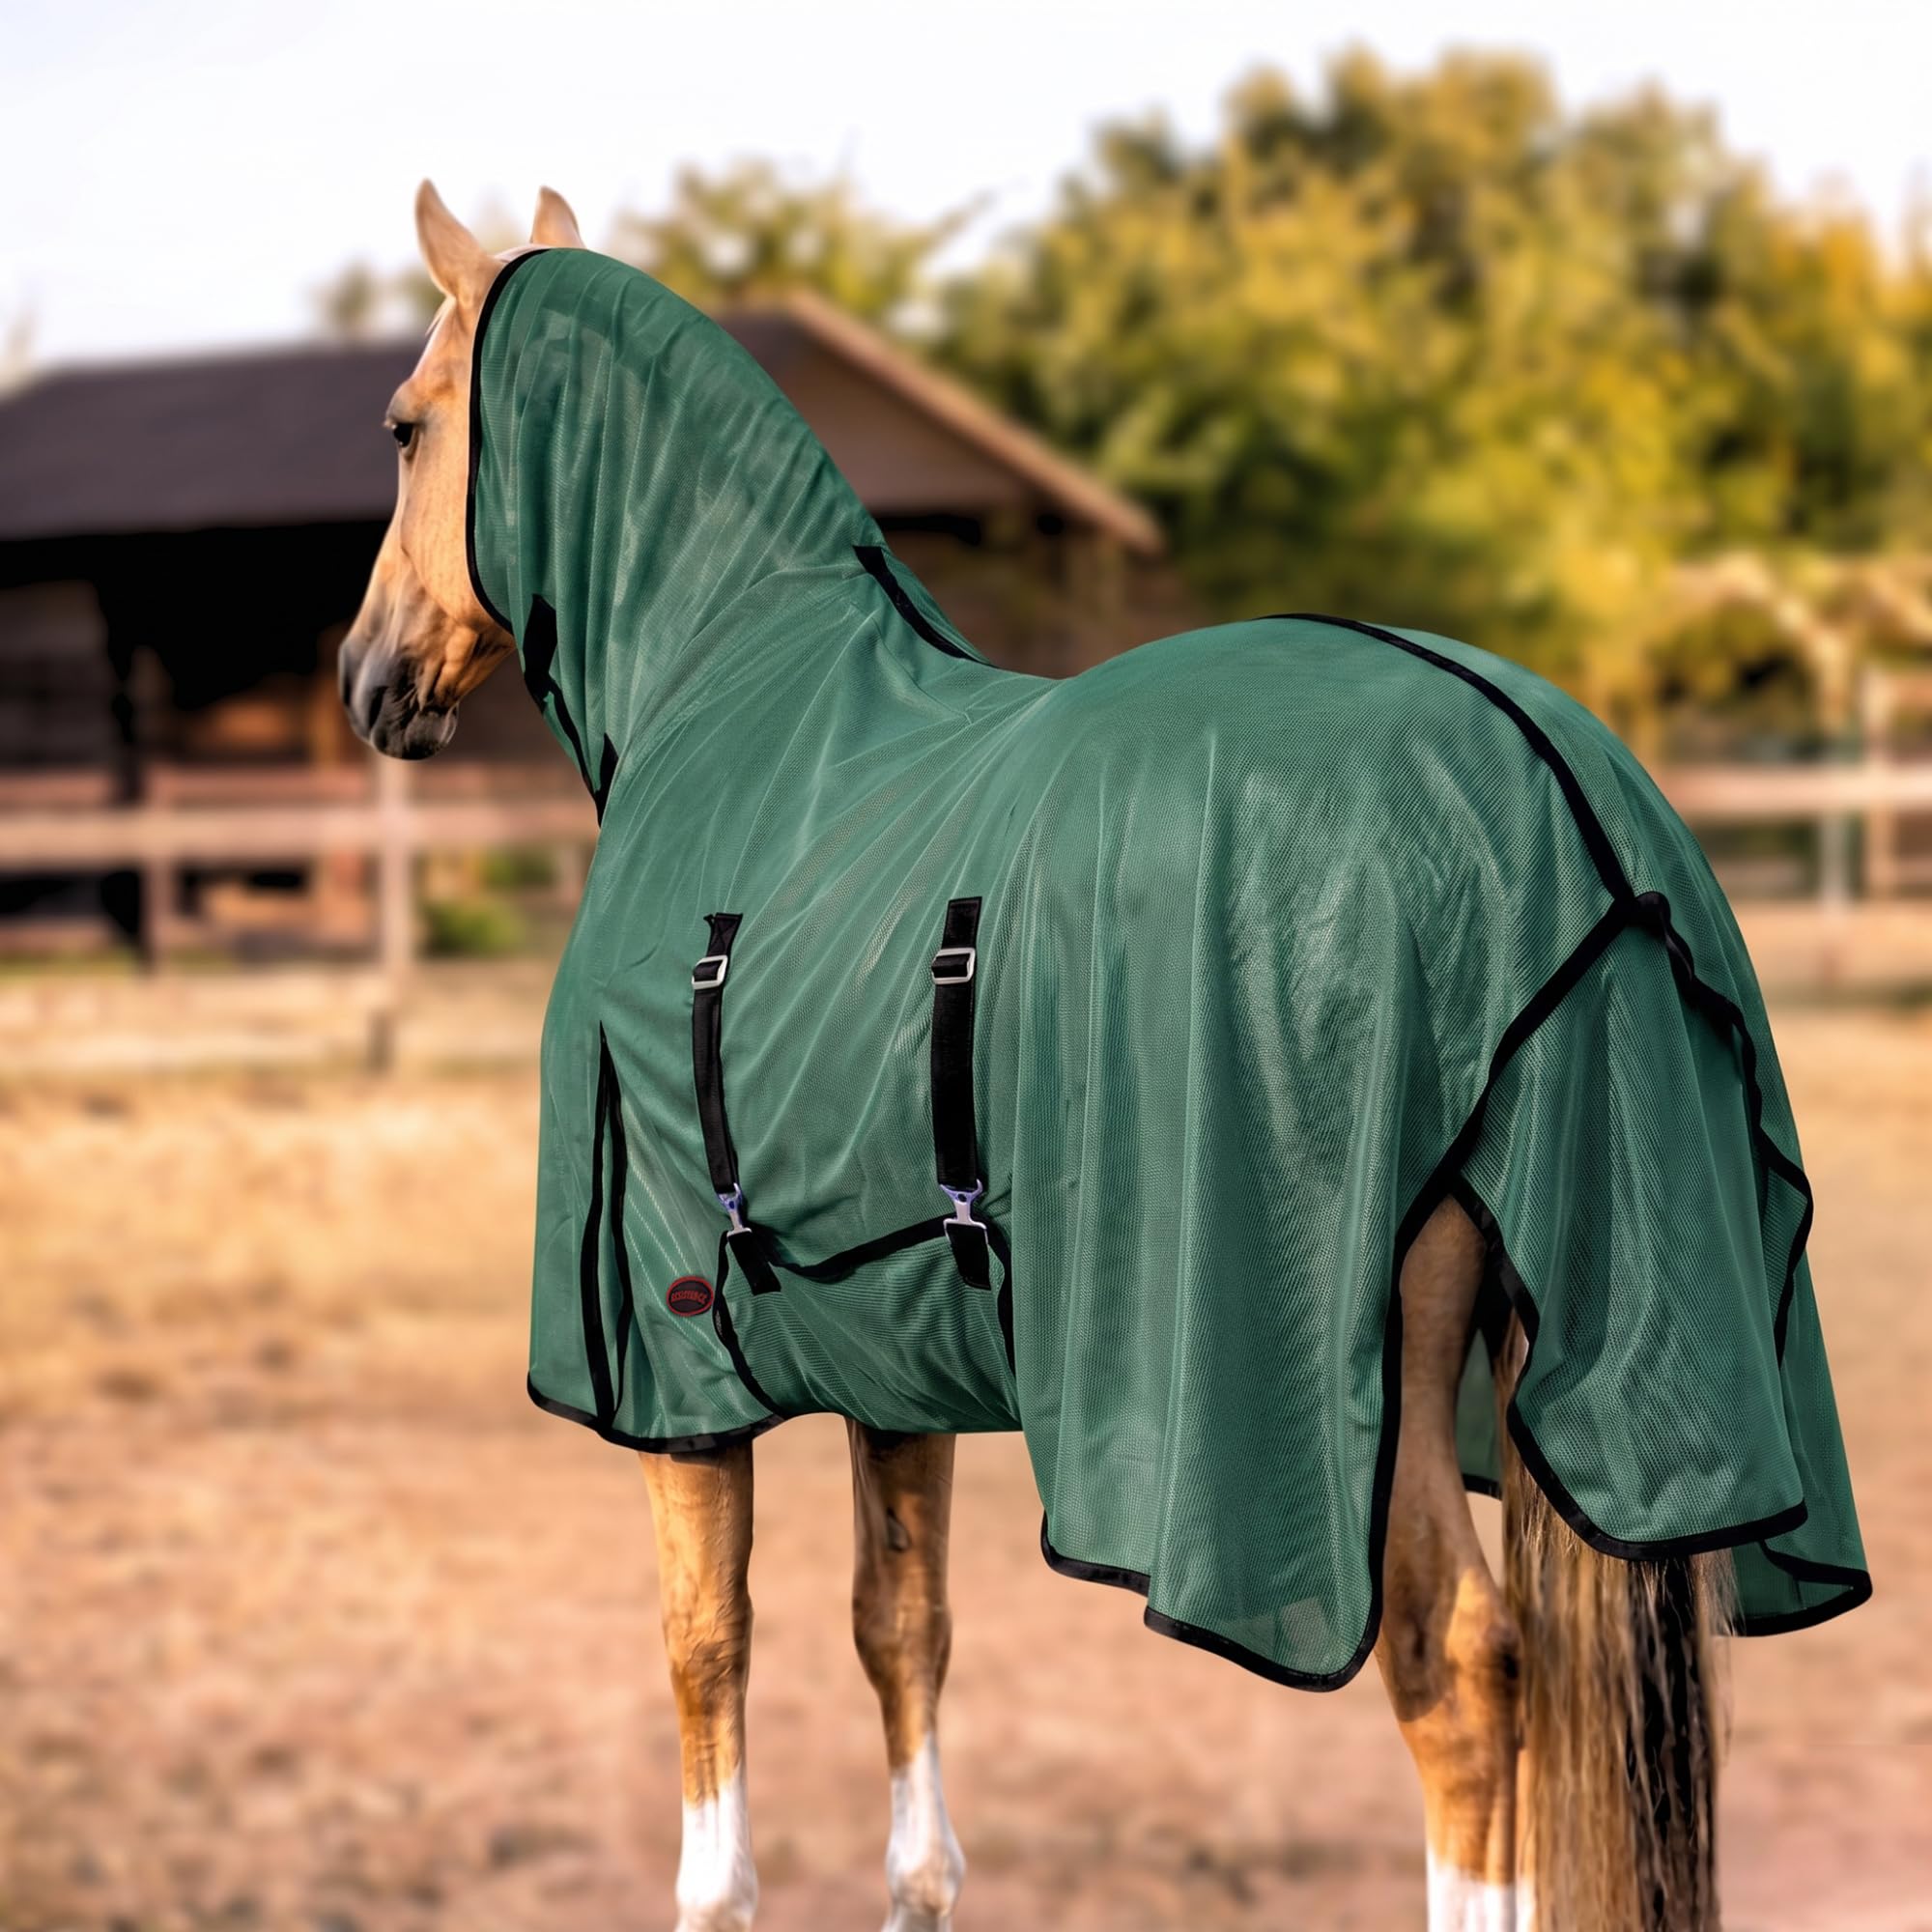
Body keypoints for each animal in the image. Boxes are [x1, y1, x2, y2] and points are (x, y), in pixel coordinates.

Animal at [337, 181, 1868, 1932]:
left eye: (403, 427)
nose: (368, 681)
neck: (739, 704)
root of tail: (1554, 797)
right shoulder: (890, 1348)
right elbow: (902, 1630)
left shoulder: (675, 1365)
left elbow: (705, 1653)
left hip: (1378, 1392)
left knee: (1459, 1672)